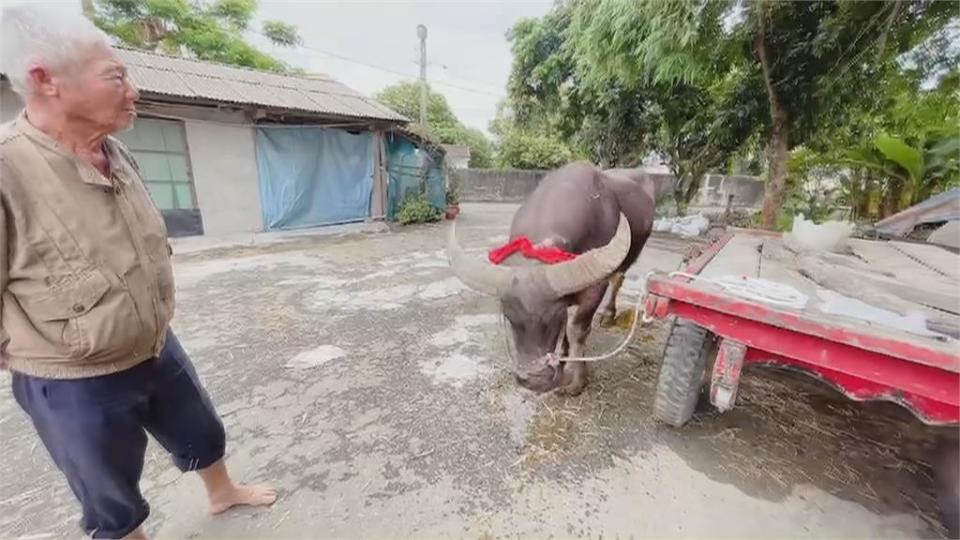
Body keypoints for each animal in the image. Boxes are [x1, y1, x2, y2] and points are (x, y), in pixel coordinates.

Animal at [446, 159, 656, 392]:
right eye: (509, 317)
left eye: (553, 317)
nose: (533, 380)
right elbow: (565, 336)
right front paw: (562, 362)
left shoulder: (594, 289)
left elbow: (576, 330)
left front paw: (576, 382)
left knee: (618, 279)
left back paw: (608, 314)